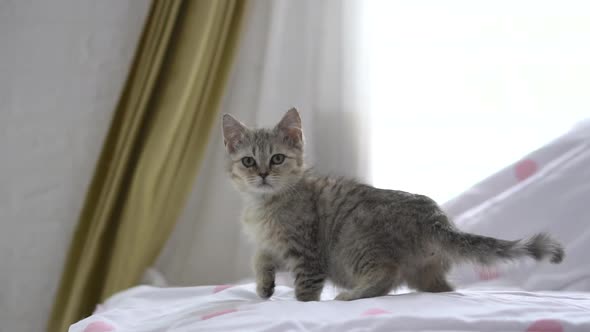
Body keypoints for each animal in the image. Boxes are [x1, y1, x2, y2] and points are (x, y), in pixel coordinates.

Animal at [221, 108, 564, 300]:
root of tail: (436, 218)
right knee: (444, 288)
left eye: (277, 158)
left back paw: (352, 295)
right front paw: (264, 285)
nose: (262, 174)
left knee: (385, 276)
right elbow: (259, 257)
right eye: (248, 161)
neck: (265, 204)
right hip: (425, 273)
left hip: (356, 242)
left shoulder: (306, 254)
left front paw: (301, 304)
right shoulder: (276, 246)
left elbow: (305, 291)